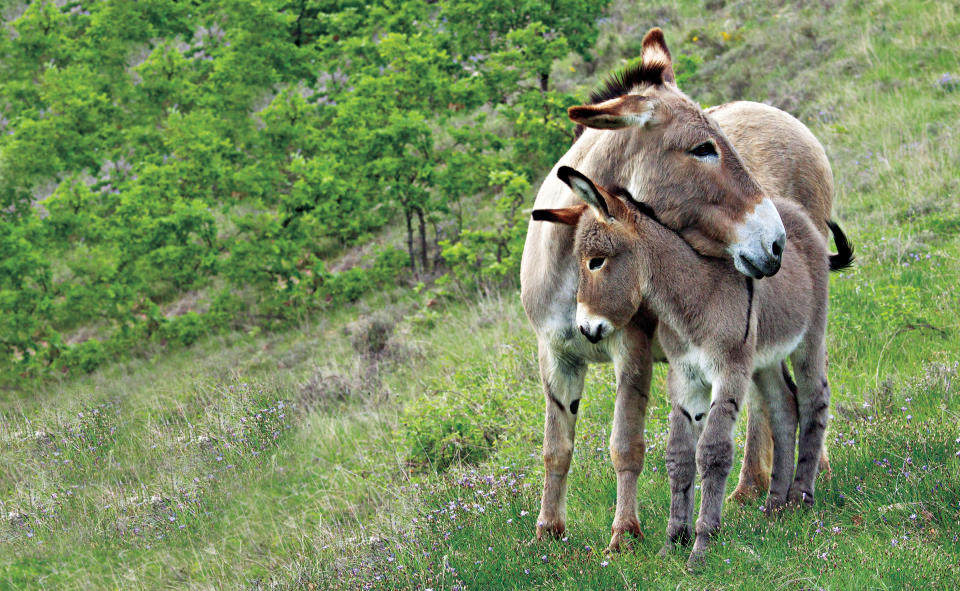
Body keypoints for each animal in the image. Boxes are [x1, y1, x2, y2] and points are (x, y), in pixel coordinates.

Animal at [532, 165, 856, 568]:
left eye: (596, 261)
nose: (585, 330)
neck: (694, 298)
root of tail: (791, 209)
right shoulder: (686, 378)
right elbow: (680, 456)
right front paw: (674, 541)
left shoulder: (728, 372)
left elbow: (713, 452)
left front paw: (702, 545)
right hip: (765, 359)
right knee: (784, 407)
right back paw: (775, 507)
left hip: (809, 337)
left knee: (814, 399)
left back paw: (801, 496)